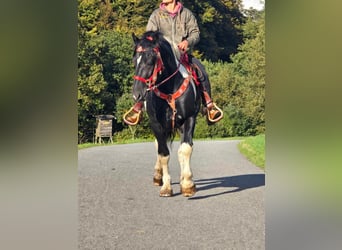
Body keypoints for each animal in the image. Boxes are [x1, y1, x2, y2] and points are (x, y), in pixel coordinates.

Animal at [131, 30, 200, 196]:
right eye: (134, 61)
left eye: (151, 60)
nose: (137, 95)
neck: (169, 89)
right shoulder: (156, 124)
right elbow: (163, 153)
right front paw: (166, 186)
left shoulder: (189, 119)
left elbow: (185, 149)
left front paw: (187, 184)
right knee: (159, 146)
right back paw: (158, 176)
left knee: (181, 150)